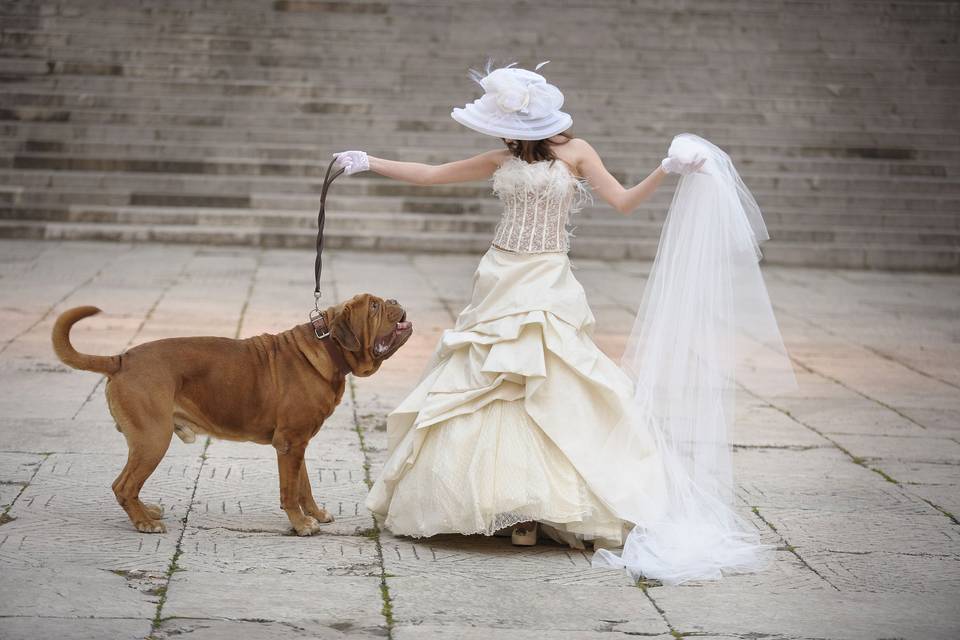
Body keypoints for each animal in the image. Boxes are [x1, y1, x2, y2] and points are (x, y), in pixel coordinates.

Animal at [51, 296, 412, 536]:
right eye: (375, 307)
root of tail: (121, 358)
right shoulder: (289, 444)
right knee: (123, 485)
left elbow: (303, 486)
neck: (328, 348)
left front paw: (316, 514)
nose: (395, 300)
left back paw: (147, 510)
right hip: (153, 439)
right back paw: (144, 522)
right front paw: (299, 525)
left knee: (130, 485)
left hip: (146, 442)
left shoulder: (297, 445)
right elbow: (288, 492)